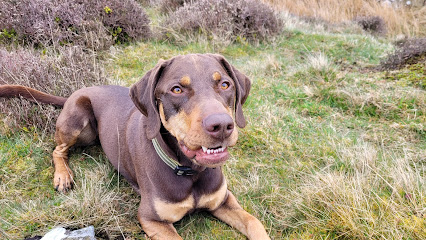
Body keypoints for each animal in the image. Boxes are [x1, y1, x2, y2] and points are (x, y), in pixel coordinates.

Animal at [0, 53, 270, 239]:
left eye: (225, 84)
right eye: (176, 89)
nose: (222, 126)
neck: (189, 172)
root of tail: (74, 93)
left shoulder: (224, 199)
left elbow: (254, 222)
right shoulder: (151, 219)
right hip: (77, 120)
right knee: (57, 150)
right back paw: (63, 176)